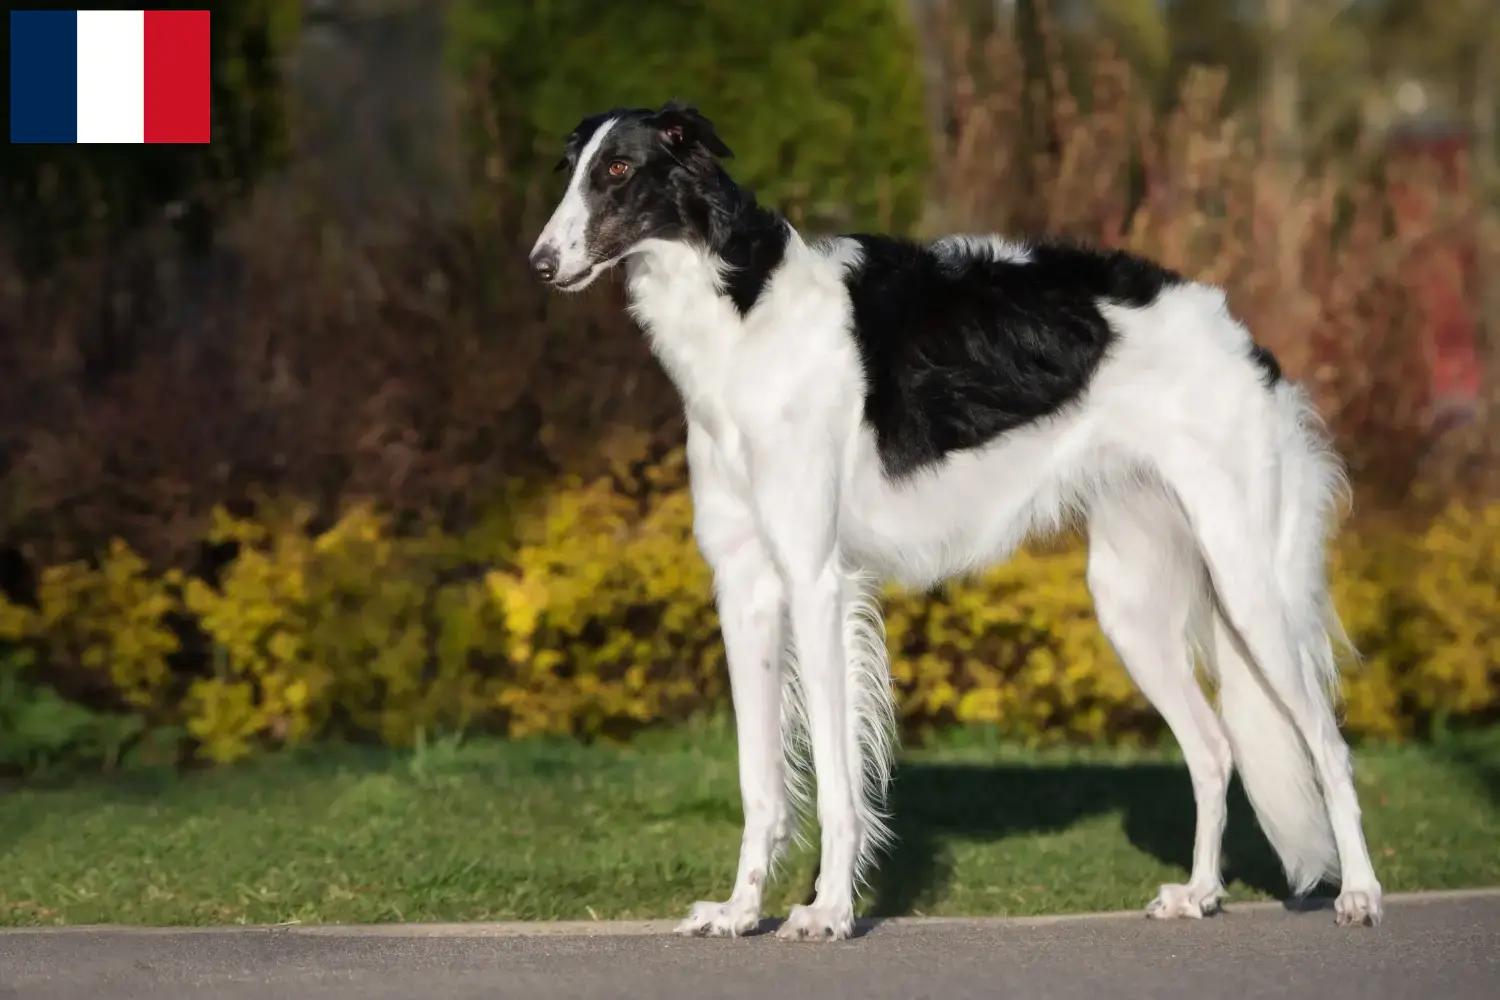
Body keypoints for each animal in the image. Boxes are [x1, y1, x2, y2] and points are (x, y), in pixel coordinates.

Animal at [528, 99, 1380, 941]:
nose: (537, 263)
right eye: (571, 168)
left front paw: (828, 910)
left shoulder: (814, 580)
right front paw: (740, 911)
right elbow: (759, 780)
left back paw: (1361, 894)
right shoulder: (744, 587)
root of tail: (1241, 337)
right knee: (1213, 748)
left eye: (618, 169)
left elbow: (834, 779)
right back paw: (1198, 893)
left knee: (1328, 747)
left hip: (1248, 583)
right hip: (1130, 601)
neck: (742, 313)